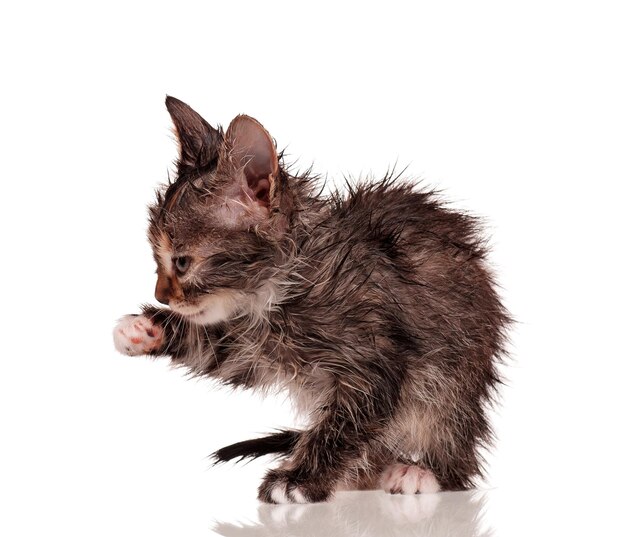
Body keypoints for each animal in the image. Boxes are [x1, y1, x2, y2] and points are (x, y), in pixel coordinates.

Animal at [114, 96, 510, 502]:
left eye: (182, 262)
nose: (160, 296)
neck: (279, 291)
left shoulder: (376, 355)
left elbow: (345, 423)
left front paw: (298, 480)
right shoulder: (250, 349)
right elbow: (215, 352)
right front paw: (142, 329)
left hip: (452, 380)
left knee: (451, 434)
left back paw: (421, 472)